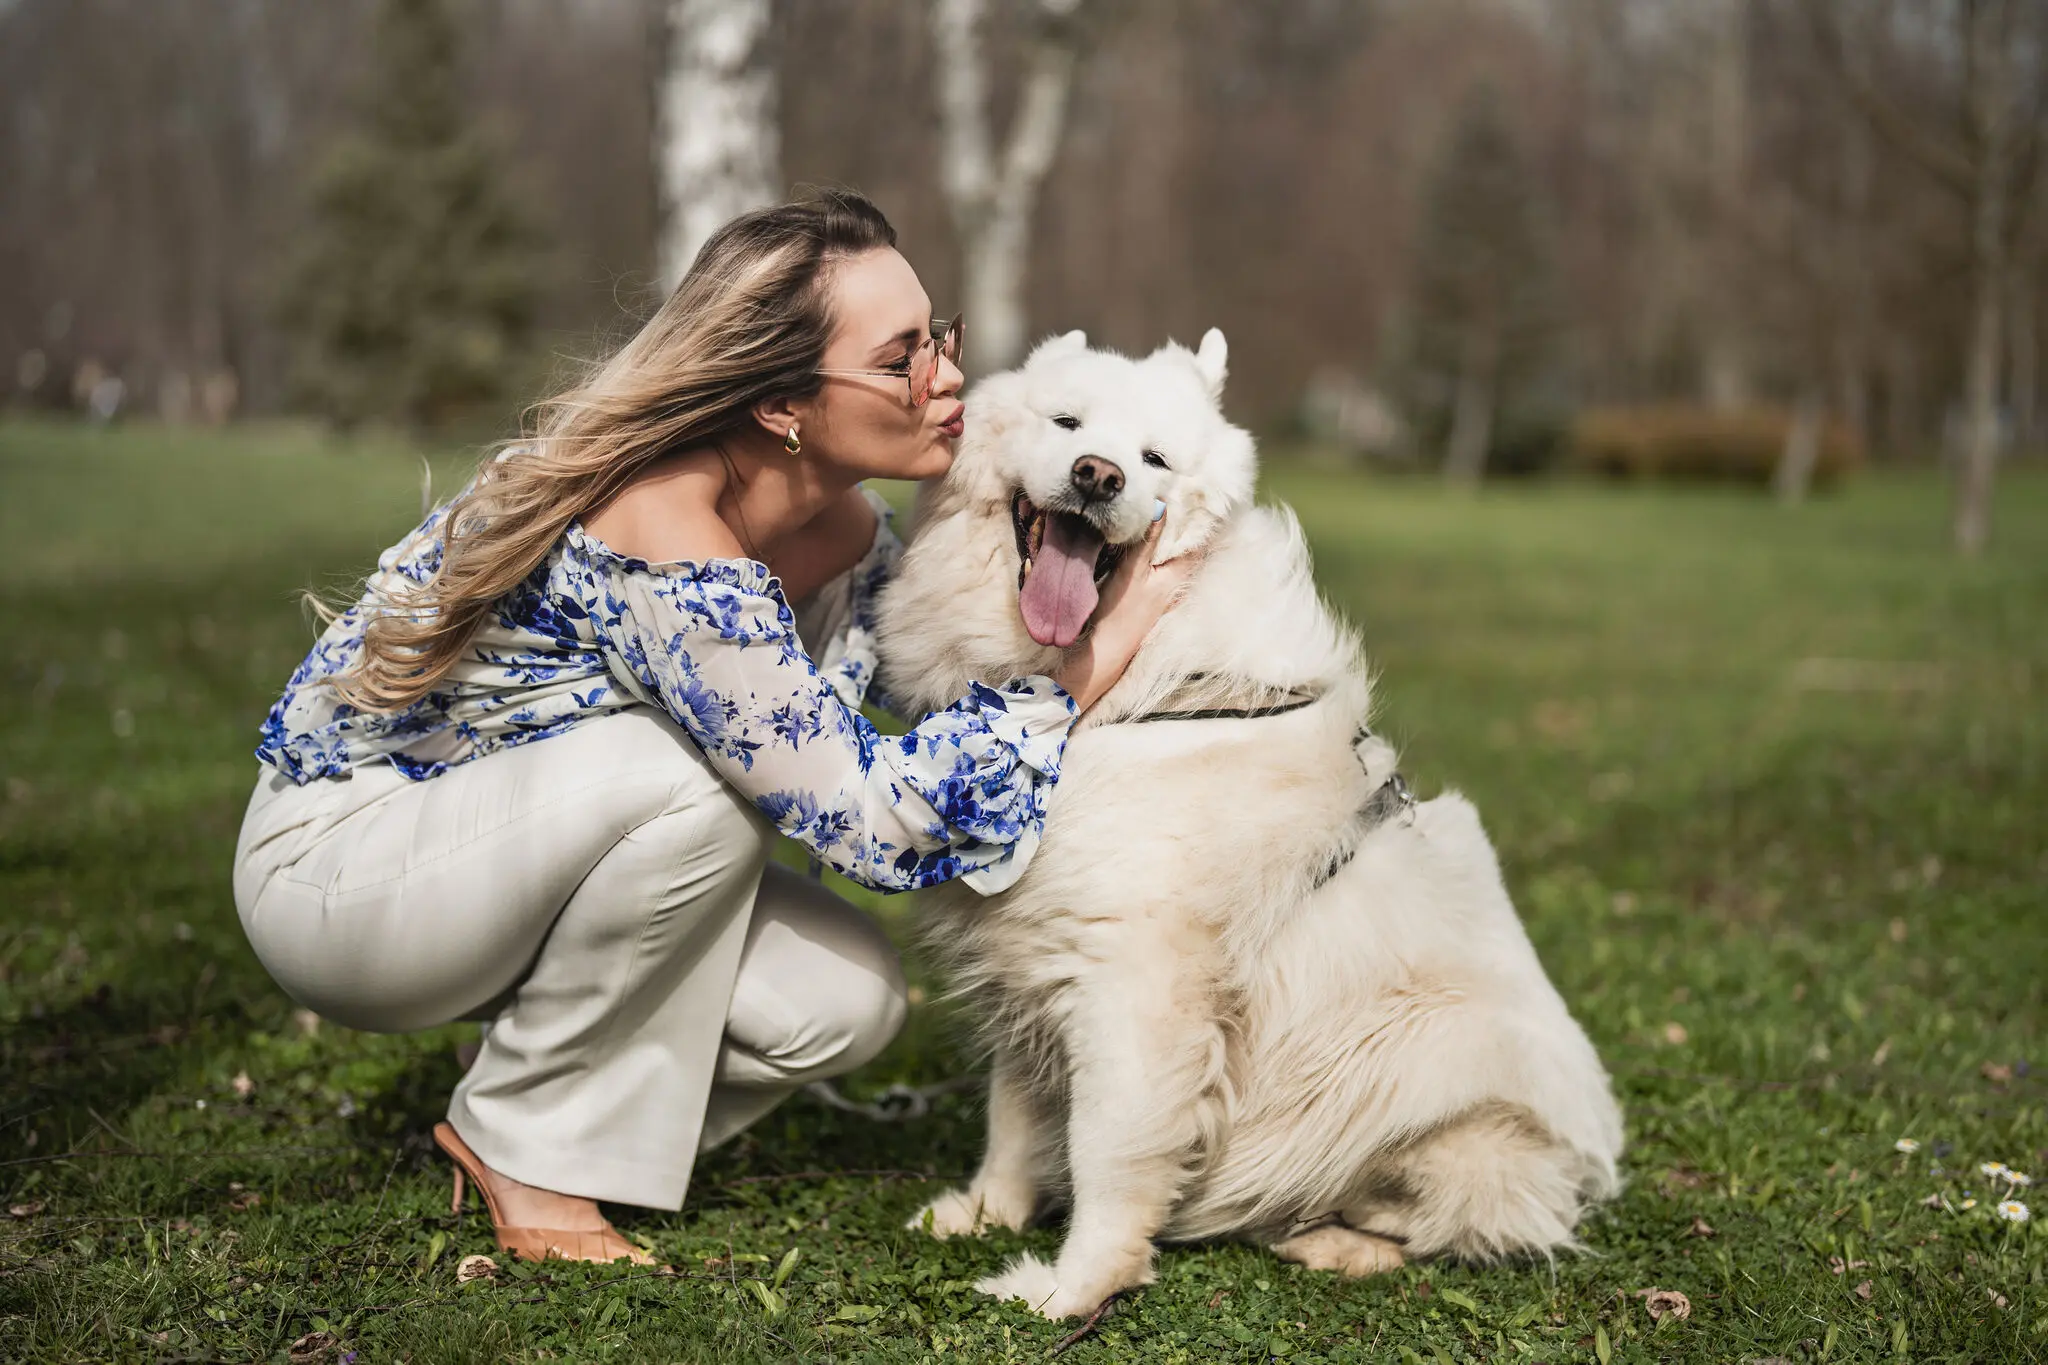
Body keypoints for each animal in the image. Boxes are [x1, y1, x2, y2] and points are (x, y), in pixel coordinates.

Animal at [875, 329, 1624, 1321]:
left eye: (1154, 459)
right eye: (1067, 423)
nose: (1098, 475)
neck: (1124, 692)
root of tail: (1591, 1164)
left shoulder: (1135, 986)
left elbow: (1107, 1154)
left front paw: (1071, 1290)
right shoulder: (1034, 960)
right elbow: (1015, 1116)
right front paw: (989, 1212)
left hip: (1421, 1063)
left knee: (1437, 1220)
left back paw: (1330, 1241)